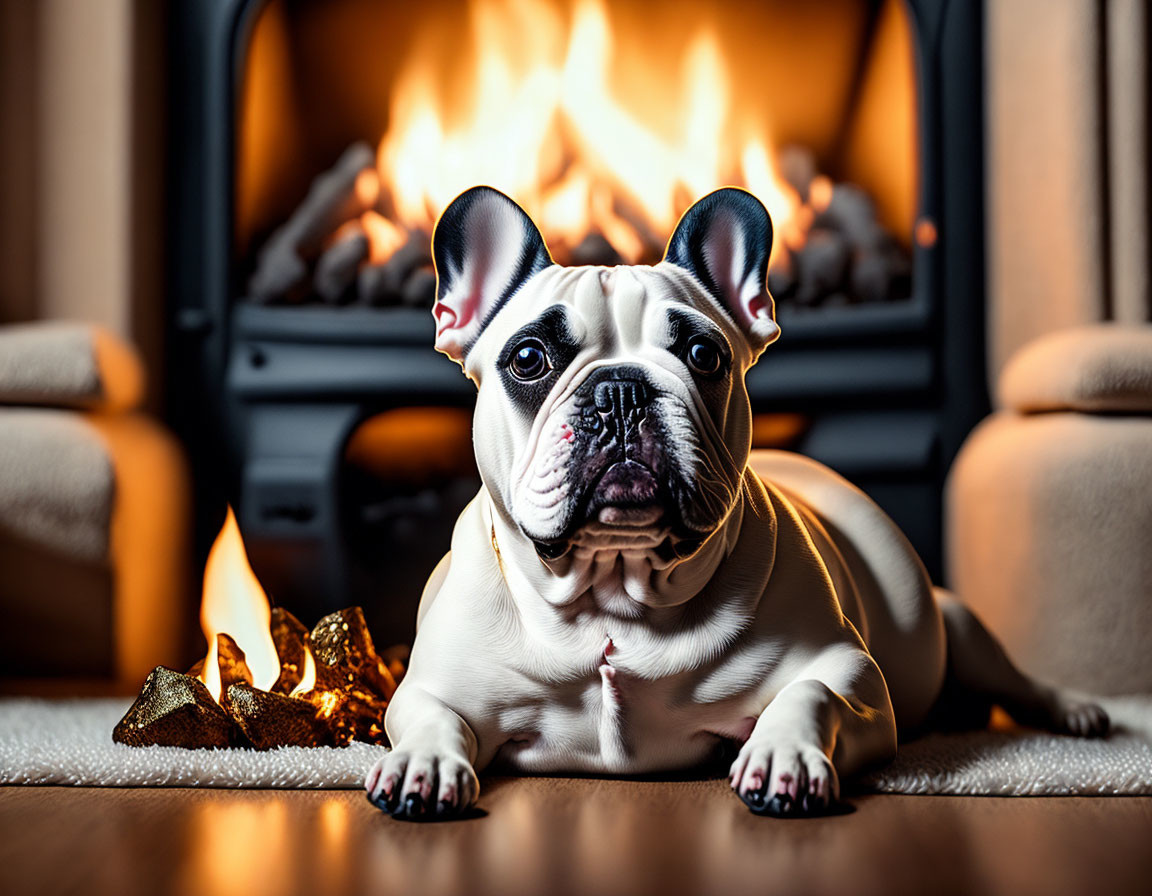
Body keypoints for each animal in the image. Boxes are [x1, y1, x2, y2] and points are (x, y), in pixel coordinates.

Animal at [364, 186, 1101, 815]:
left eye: (703, 354)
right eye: (528, 359)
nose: (620, 389)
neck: (612, 599)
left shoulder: (852, 674)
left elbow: (811, 692)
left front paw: (782, 756)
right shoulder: (428, 687)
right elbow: (429, 717)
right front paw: (423, 763)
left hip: (962, 627)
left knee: (1015, 680)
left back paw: (1077, 712)